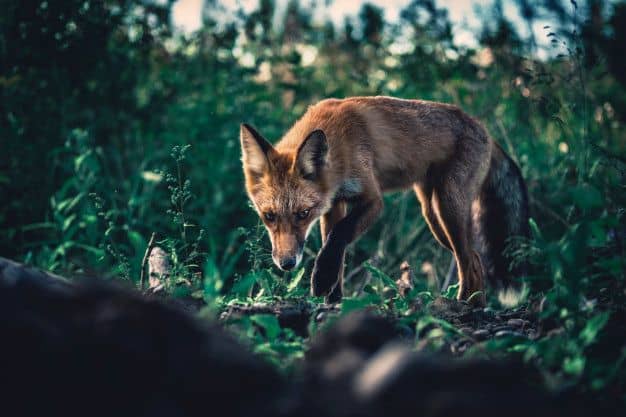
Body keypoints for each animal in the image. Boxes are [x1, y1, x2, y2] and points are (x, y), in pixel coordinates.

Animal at [239, 97, 528, 306]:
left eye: (303, 214)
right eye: (269, 216)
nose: (287, 264)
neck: (338, 144)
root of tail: (484, 129)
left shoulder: (372, 199)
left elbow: (338, 236)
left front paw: (321, 279)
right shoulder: (334, 204)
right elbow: (334, 248)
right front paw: (334, 298)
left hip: (448, 206)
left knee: (470, 259)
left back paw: (464, 304)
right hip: (433, 216)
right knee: (475, 257)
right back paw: (476, 302)